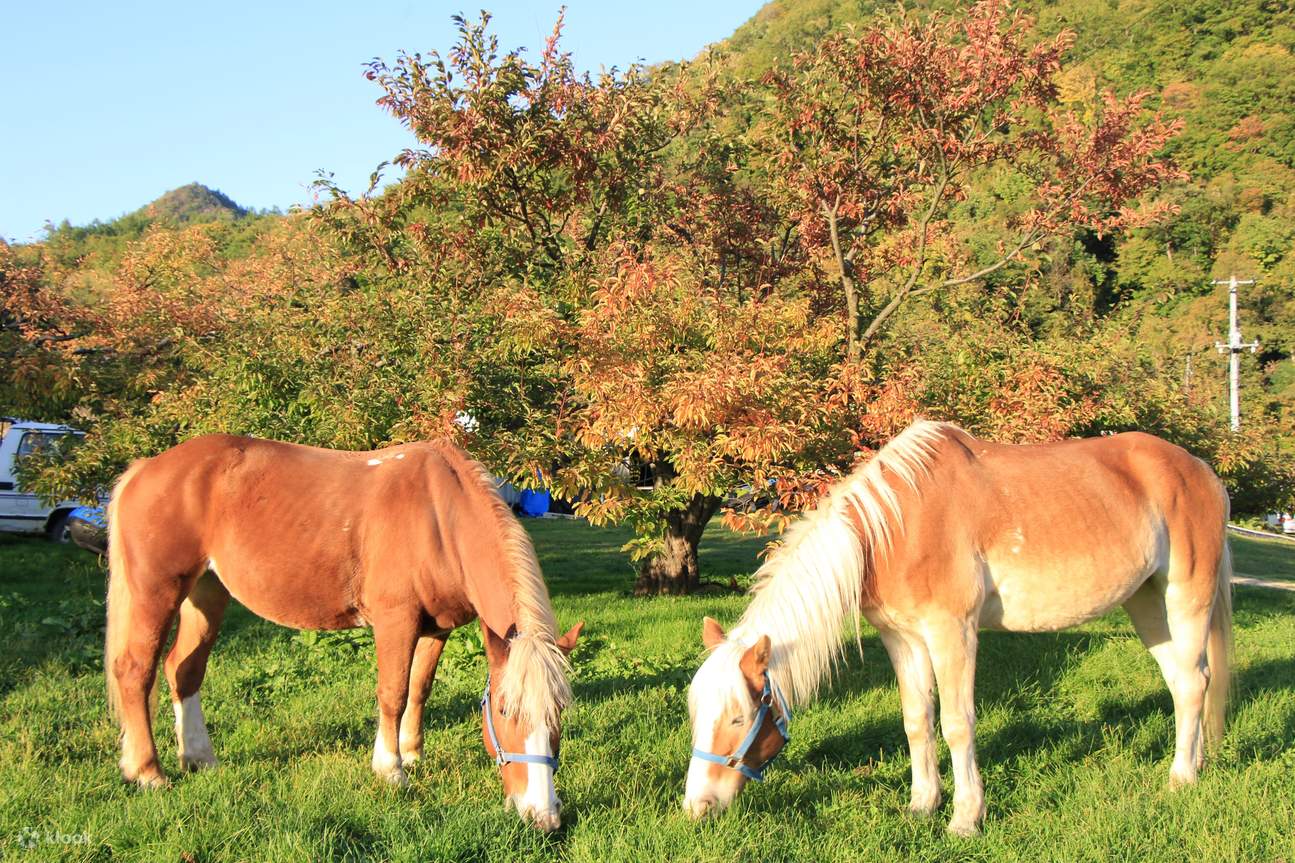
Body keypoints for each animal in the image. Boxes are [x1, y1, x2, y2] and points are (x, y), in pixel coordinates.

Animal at [104, 434, 582, 831]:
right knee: (135, 670)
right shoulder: (395, 622)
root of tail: (145, 468)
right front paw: (391, 770)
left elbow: (420, 690)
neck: (438, 515)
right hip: (157, 591)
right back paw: (148, 772)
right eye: (503, 711)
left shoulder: (435, 630)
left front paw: (412, 754)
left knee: (183, 670)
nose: (544, 816)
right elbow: (393, 694)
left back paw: (199, 759)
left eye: (560, 712)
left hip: (206, 591)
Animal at [683, 420, 1233, 836]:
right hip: (1146, 604)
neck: (894, 527)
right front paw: (922, 805)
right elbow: (917, 722)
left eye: (738, 718)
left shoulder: (953, 633)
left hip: (1186, 595)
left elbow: (956, 724)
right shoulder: (903, 639)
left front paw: (966, 818)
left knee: (1194, 682)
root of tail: (1201, 470)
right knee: (1183, 682)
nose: (696, 805)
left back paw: (1181, 777)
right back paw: (1197, 764)